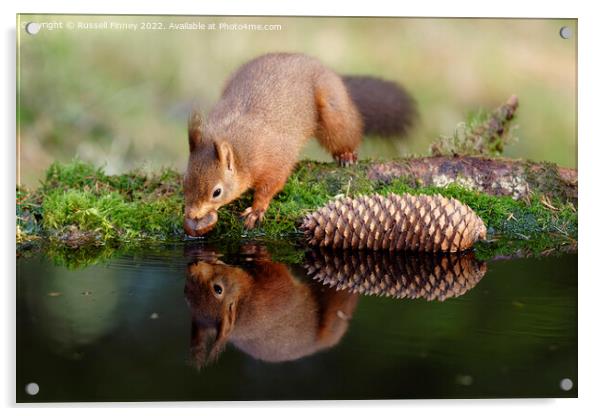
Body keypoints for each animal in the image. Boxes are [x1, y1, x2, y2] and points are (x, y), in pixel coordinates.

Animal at [184, 52, 418, 236]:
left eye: (217, 192)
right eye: (185, 181)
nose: (191, 214)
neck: (237, 144)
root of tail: (319, 66)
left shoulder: (275, 157)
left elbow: (272, 184)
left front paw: (257, 210)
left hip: (333, 111)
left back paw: (346, 155)